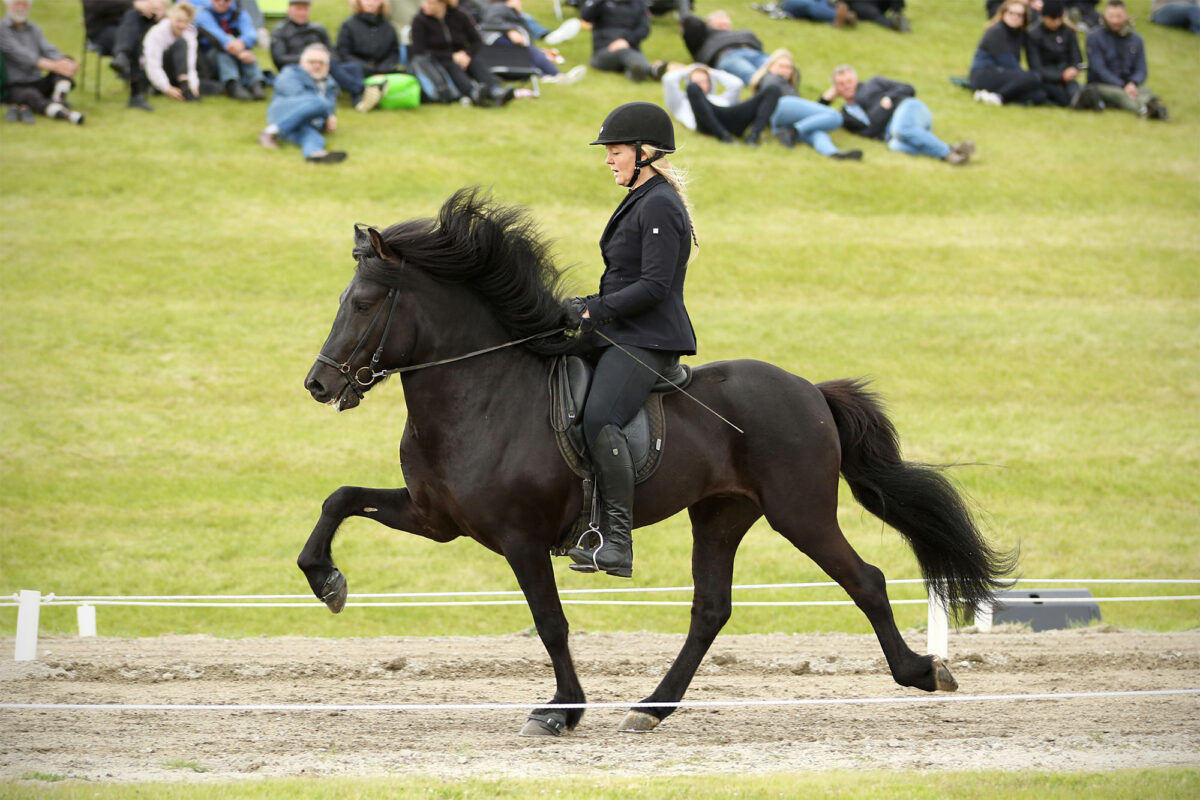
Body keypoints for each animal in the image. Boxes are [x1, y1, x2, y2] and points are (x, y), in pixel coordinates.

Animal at [297, 189, 1012, 738]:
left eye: (363, 304)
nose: (319, 385)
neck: (480, 394)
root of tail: (810, 390)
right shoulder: (434, 517)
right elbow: (340, 498)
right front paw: (326, 581)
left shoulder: (520, 537)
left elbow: (550, 623)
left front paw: (561, 710)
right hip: (722, 514)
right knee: (710, 611)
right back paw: (650, 708)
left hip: (799, 512)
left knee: (864, 580)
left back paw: (923, 671)